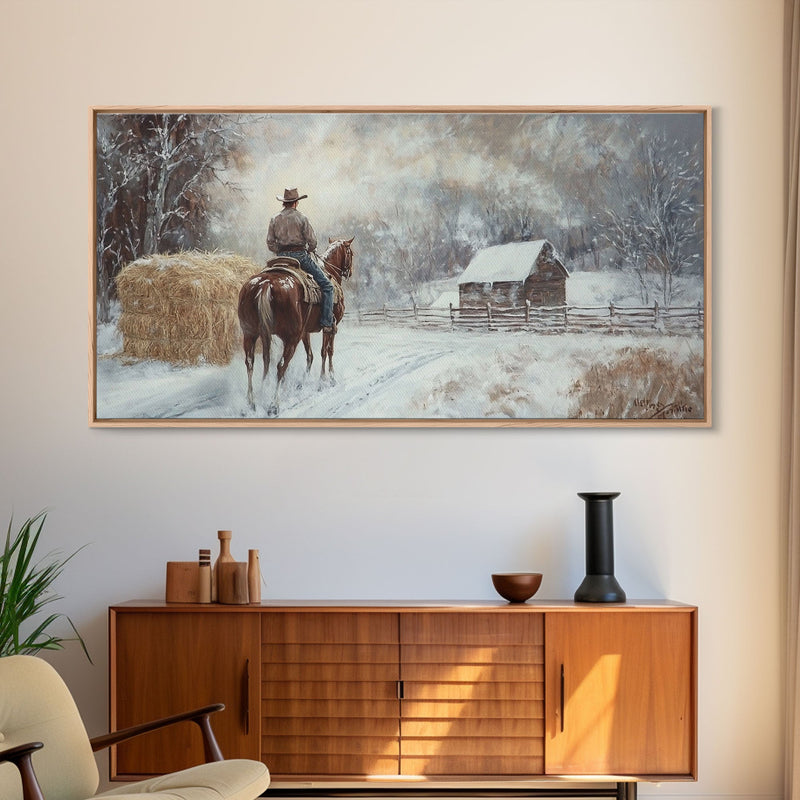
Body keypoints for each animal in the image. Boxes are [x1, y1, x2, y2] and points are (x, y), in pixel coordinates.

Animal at [234, 236, 354, 416]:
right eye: (351, 253)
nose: (350, 272)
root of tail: (265, 283)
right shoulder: (331, 328)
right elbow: (326, 352)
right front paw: (327, 380)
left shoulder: (305, 332)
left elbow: (310, 355)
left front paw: (302, 384)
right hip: (291, 338)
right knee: (281, 365)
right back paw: (273, 404)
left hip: (250, 334)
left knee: (252, 363)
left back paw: (252, 403)